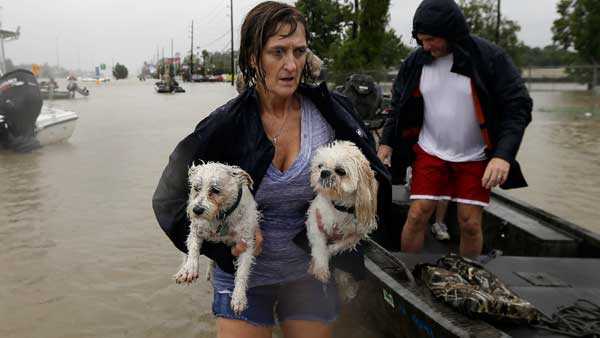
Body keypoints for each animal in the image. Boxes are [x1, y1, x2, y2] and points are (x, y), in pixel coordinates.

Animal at [172, 162, 258, 312]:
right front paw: (189, 269)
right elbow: (193, 250)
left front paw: (239, 297)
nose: (197, 210)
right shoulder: (196, 230)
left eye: (215, 190)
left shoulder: (246, 244)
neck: (220, 217)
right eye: (196, 188)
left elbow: (242, 272)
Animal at [308, 141, 378, 300]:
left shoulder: (359, 232)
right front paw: (321, 268)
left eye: (340, 171)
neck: (339, 208)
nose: (324, 172)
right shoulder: (315, 220)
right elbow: (319, 246)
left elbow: (341, 244)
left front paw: (330, 251)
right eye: (320, 166)